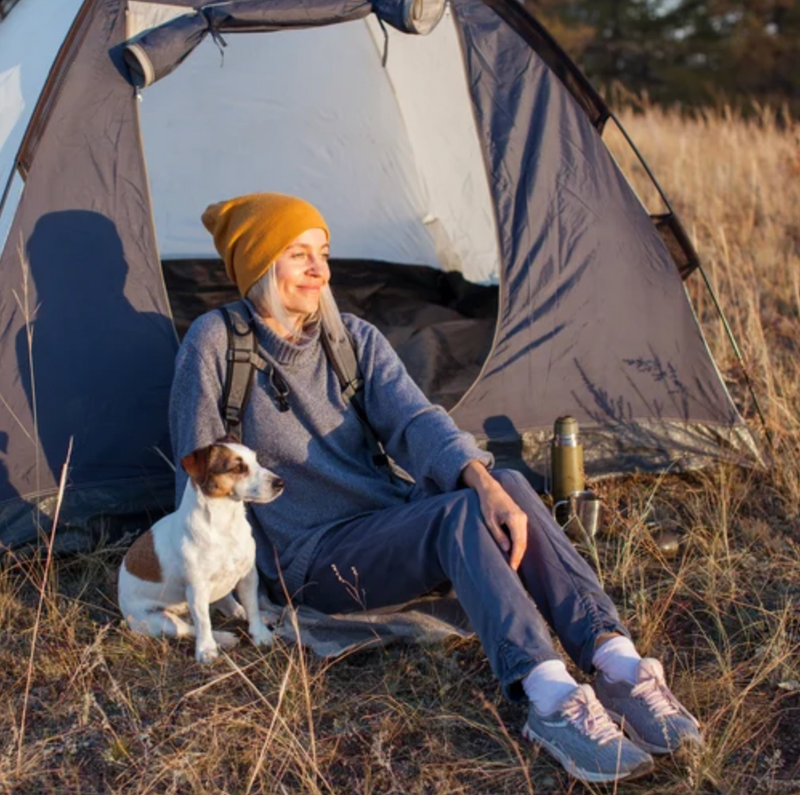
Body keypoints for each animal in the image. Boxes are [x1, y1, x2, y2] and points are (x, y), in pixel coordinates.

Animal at [117, 438, 282, 664]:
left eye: (256, 461)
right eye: (237, 468)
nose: (280, 482)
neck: (225, 526)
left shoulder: (248, 576)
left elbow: (252, 607)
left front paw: (260, 633)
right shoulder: (197, 589)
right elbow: (203, 623)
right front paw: (206, 650)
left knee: (231, 606)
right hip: (159, 620)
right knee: (190, 628)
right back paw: (222, 638)